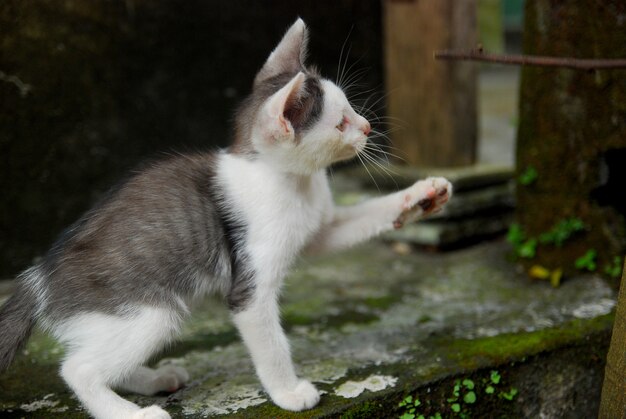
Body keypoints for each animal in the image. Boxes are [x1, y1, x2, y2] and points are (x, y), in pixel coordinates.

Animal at [0, 19, 448, 419]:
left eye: (352, 108)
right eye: (340, 123)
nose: (368, 126)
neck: (294, 183)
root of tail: (38, 276)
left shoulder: (320, 228)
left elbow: (359, 220)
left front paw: (420, 195)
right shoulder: (249, 286)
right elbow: (270, 344)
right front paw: (288, 392)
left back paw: (153, 379)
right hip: (149, 311)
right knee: (78, 368)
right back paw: (132, 413)